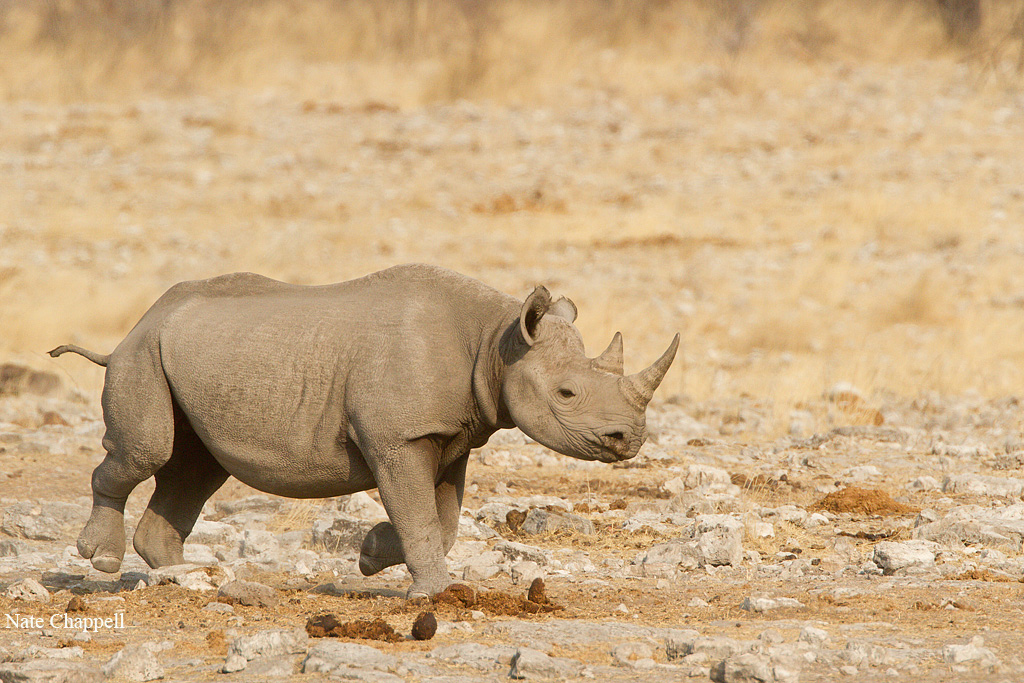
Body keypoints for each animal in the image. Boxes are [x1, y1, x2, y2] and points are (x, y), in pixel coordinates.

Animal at [50, 264, 678, 598]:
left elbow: (442, 519)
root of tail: (136, 326)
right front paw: (433, 593)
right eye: (567, 394)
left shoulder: (451, 436)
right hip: (143, 356)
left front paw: (373, 554)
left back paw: (188, 578)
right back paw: (103, 562)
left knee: (195, 469)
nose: (629, 440)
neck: (496, 341)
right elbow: (422, 515)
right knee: (149, 452)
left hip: (190, 360)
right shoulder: (399, 437)